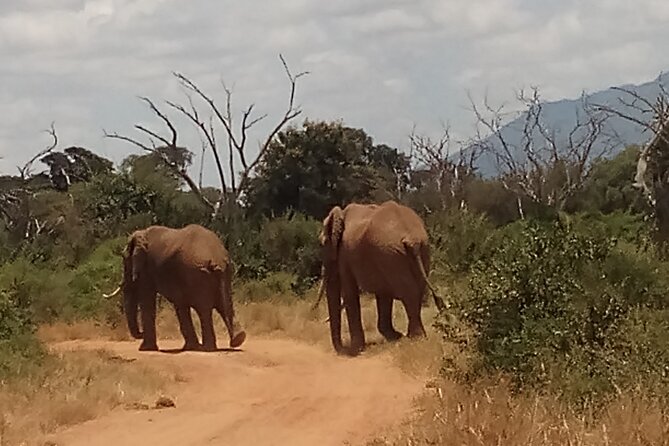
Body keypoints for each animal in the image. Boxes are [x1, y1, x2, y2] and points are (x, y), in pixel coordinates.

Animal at [105, 224, 246, 352]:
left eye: (124, 259)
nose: (140, 333)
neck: (142, 233)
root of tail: (216, 258)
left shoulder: (147, 269)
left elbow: (148, 301)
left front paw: (145, 348)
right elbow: (180, 304)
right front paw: (191, 347)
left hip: (197, 274)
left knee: (204, 310)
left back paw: (208, 348)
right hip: (224, 272)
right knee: (225, 305)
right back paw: (237, 340)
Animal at [318, 200, 446, 355]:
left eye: (323, 244)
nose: (343, 348)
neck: (340, 214)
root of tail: (412, 240)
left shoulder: (345, 254)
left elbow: (349, 293)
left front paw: (355, 349)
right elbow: (383, 294)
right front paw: (396, 336)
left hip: (390, 254)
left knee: (409, 294)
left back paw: (415, 339)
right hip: (415, 250)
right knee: (414, 293)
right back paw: (410, 337)